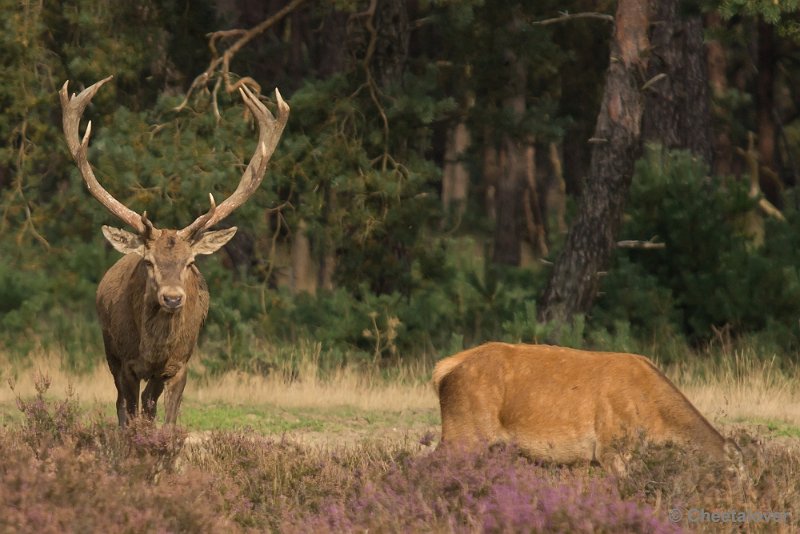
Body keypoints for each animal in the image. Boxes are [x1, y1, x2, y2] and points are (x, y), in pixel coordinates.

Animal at [60, 76, 290, 428]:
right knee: (121, 404)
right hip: (109, 349)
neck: (154, 354)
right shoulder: (127, 363)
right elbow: (130, 413)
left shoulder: (180, 366)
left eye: (190, 261)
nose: (172, 298)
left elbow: (166, 420)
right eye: (148, 261)